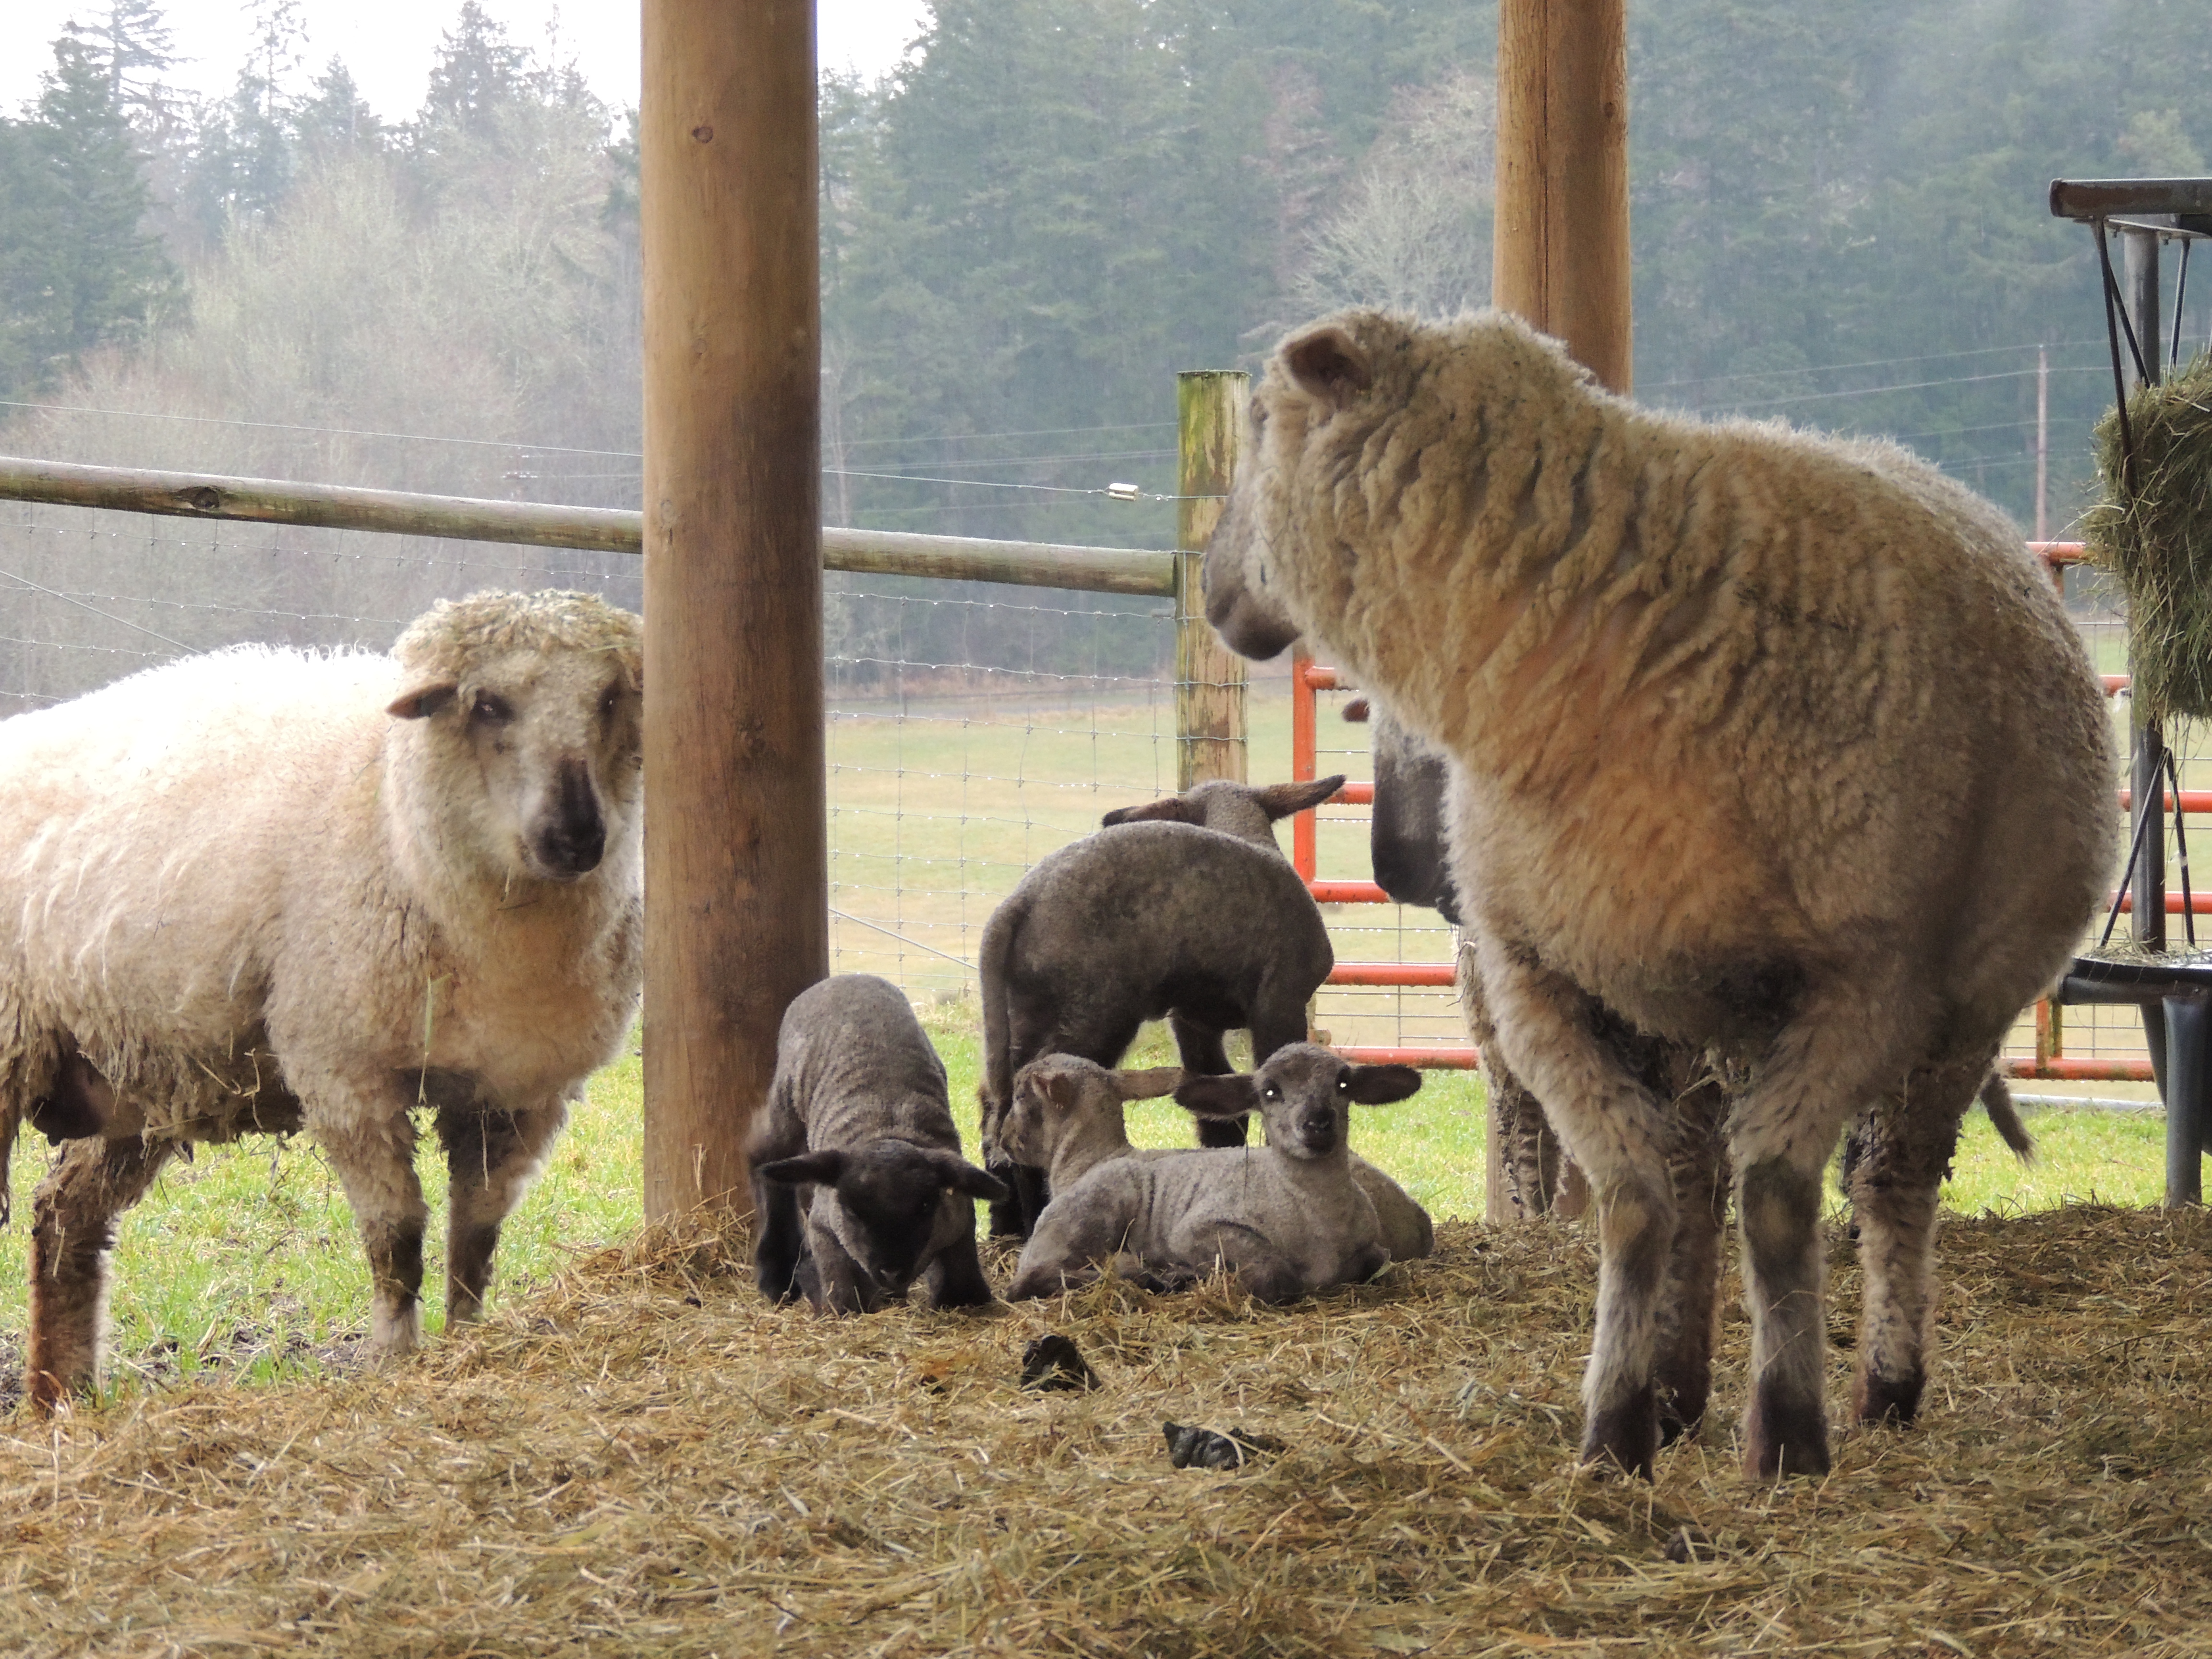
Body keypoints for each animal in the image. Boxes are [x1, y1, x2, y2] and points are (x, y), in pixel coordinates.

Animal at [0, 592, 646, 1407]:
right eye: (487, 704)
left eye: (612, 697)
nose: (577, 837)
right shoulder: (344, 1075)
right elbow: (396, 1241)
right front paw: (395, 1359)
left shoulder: (519, 1095)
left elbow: (476, 1239)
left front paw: (467, 1342)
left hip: (130, 1078)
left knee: (62, 1219)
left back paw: (63, 1398)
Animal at [756, 982, 1009, 1318]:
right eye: (852, 1210)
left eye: (926, 1206)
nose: (892, 1272)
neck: (887, 1130)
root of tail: (847, 979)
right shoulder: (825, 1227)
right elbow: (842, 1291)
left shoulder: (958, 1216)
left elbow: (961, 1270)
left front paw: (966, 1298)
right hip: (786, 1106)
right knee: (773, 1169)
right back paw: (777, 1275)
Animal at [1013, 1044, 1424, 1309]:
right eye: (1269, 1091)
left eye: (1342, 1084)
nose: (1318, 1124)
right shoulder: (1195, 1231)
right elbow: (1274, 1276)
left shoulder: (1374, 1248)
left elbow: (1379, 1264)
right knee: (1027, 1280)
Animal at [1203, 310, 2115, 1478]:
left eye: (1261, 422)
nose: (1215, 589)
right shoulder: (1538, 980)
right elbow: (1634, 1203)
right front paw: (1614, 1428)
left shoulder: (1864, 982)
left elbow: (1778, 1202)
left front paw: (1788, 1432)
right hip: (1681, 993)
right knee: (1691, 1174)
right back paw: (1678, 1385)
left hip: (1956, 1009)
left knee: (1888, 1185)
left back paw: (1886, 1384)